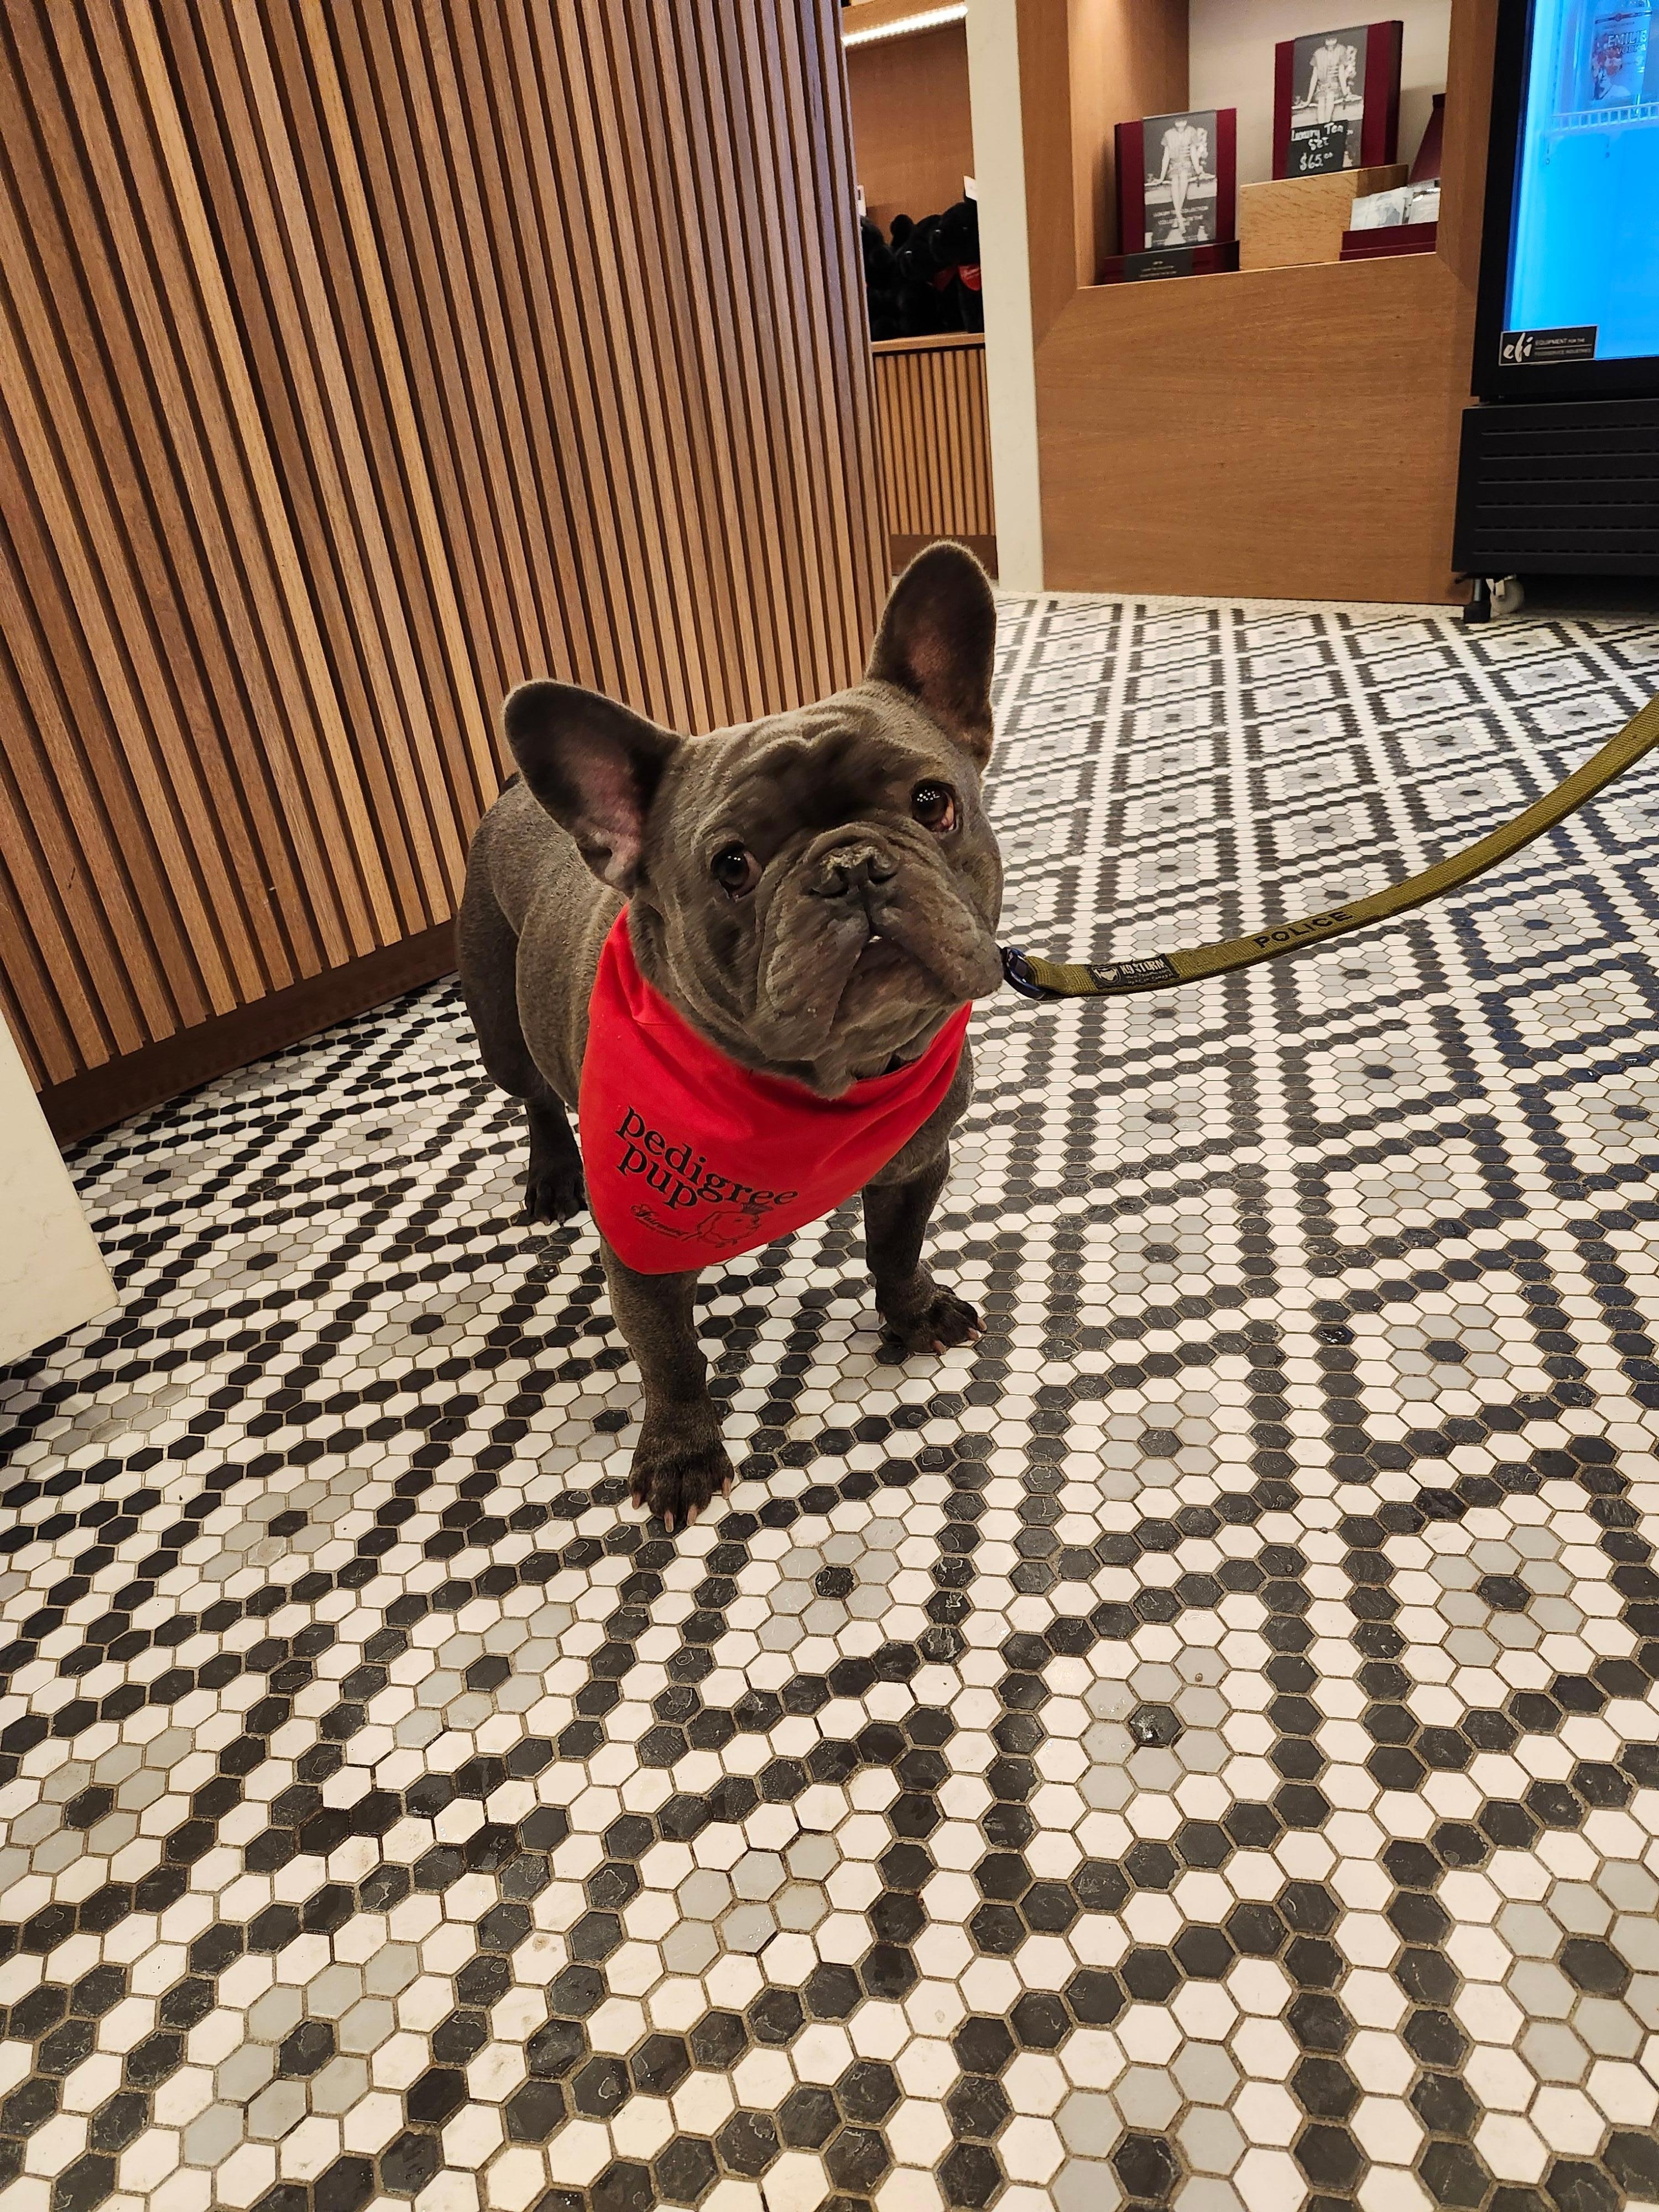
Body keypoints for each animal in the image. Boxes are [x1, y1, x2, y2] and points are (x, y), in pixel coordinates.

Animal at [457, 543, 1005, 1530]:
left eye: (934, 803)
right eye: (733, 867)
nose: (851, 866)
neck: (822, 1084)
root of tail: (514, 794)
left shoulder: (915, 1161)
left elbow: (896, 1247)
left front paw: (913, 1313)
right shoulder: (639, 1246)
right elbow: (669, 1355)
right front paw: (681, 1454)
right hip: (498, 1025)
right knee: (533, 1098)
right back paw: (551, 1174)